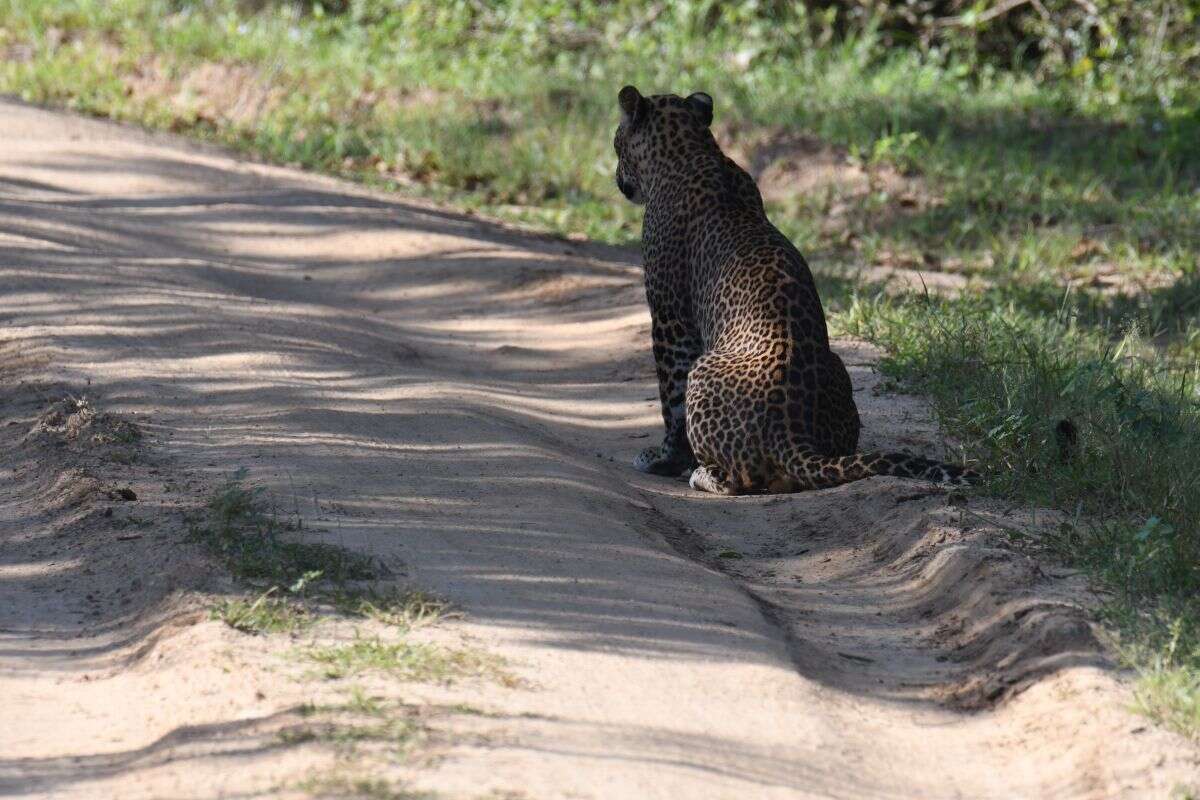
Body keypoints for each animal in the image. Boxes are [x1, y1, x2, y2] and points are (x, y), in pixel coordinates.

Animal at [614, 82, 979, 494]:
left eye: (616, 143)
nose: (617, 178)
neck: (694, 149)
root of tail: (791, 435)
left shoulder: (670, 316)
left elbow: (670, 397)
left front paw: (664, 459)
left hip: (703, 369)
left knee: (740, 478)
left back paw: (702, 474)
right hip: (835, 370)